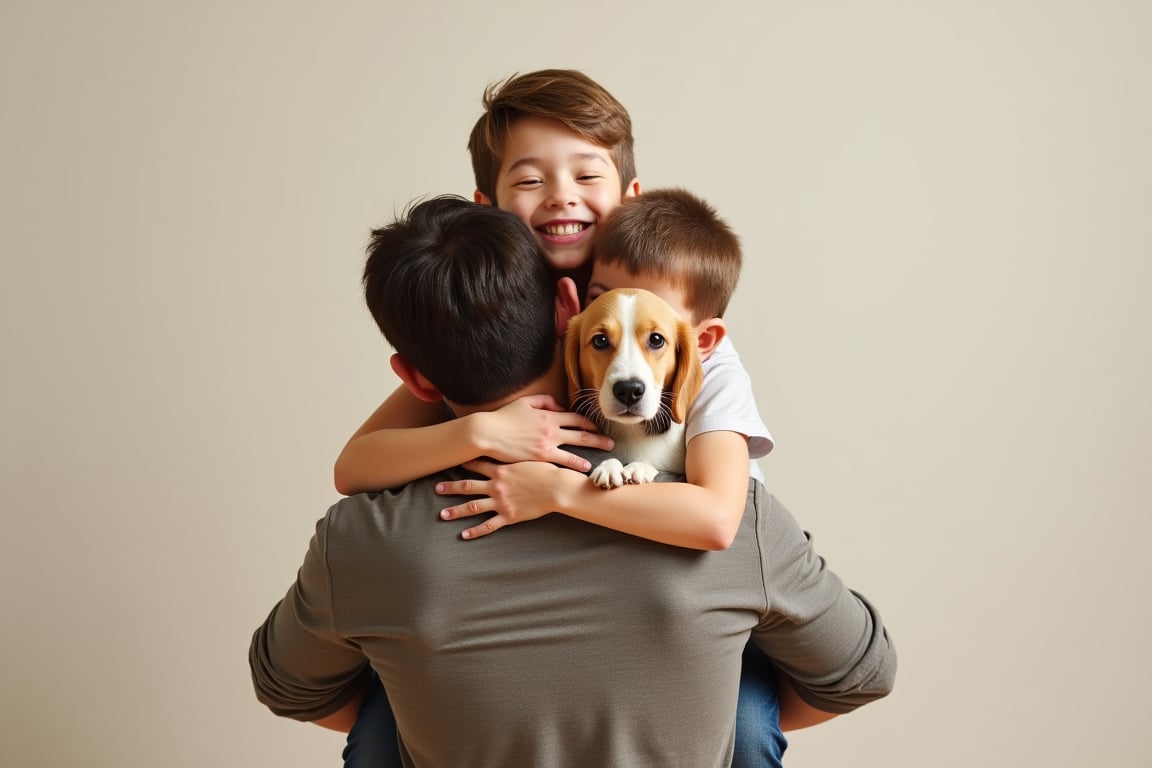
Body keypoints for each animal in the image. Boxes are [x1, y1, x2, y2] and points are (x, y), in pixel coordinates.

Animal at [564, 287, 705, 485]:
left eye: (656, 339)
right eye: (600, 340)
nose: (629, 390)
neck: (631, 430)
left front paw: (640, 467)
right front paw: (608, 467)